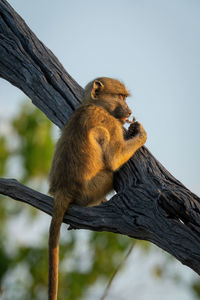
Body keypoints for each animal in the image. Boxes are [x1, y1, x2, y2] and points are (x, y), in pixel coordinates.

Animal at [47, 77, 146, 300]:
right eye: (120, 97)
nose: (129, 110)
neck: (94, 105)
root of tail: (63, 188)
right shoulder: (110, 123)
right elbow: (114, 158)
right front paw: (140, 133)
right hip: (91, 190)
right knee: (111, 174)